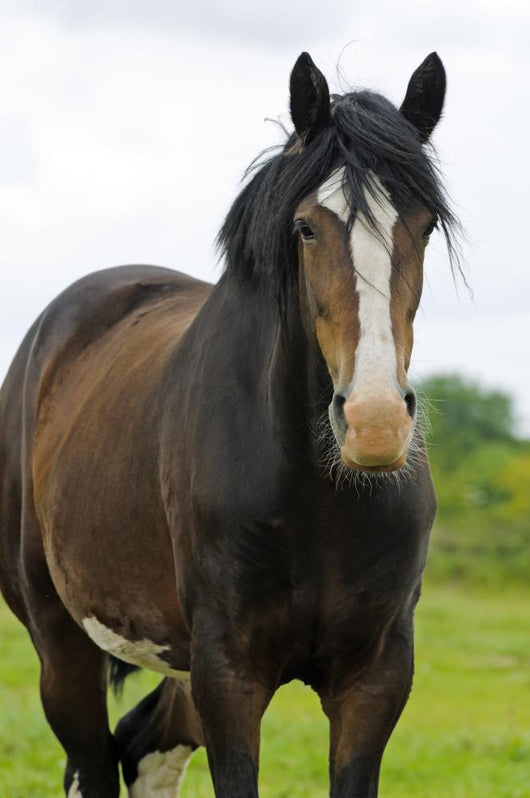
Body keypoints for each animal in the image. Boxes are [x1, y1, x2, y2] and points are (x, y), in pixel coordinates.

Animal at [0, 50, 458, 797]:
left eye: (423, 226)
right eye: (306, 227)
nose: (374, 423)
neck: (316, 494)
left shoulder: (376, 678)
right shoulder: (227, 675)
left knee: (145, 750)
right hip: (62, 645)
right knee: (92, 762)